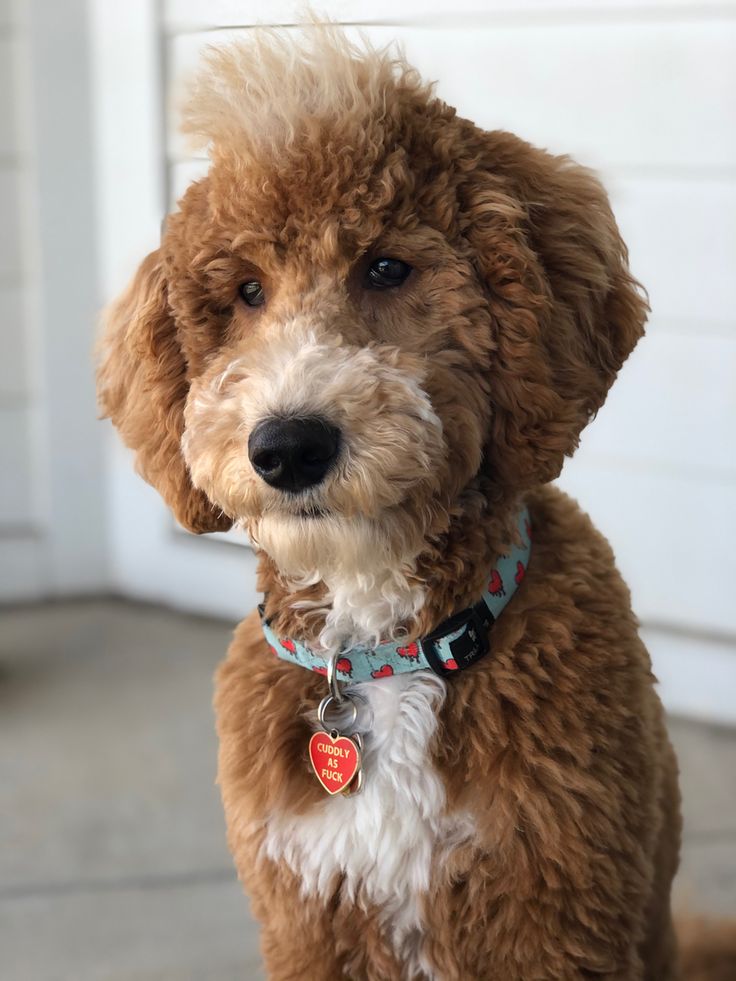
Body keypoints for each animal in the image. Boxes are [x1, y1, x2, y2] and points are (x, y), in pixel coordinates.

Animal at [93, 23, 732, 980]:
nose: (288, 446)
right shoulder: (309, 916)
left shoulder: (554, 911)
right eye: (246, 291)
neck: (384, 654)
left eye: (387, 266)